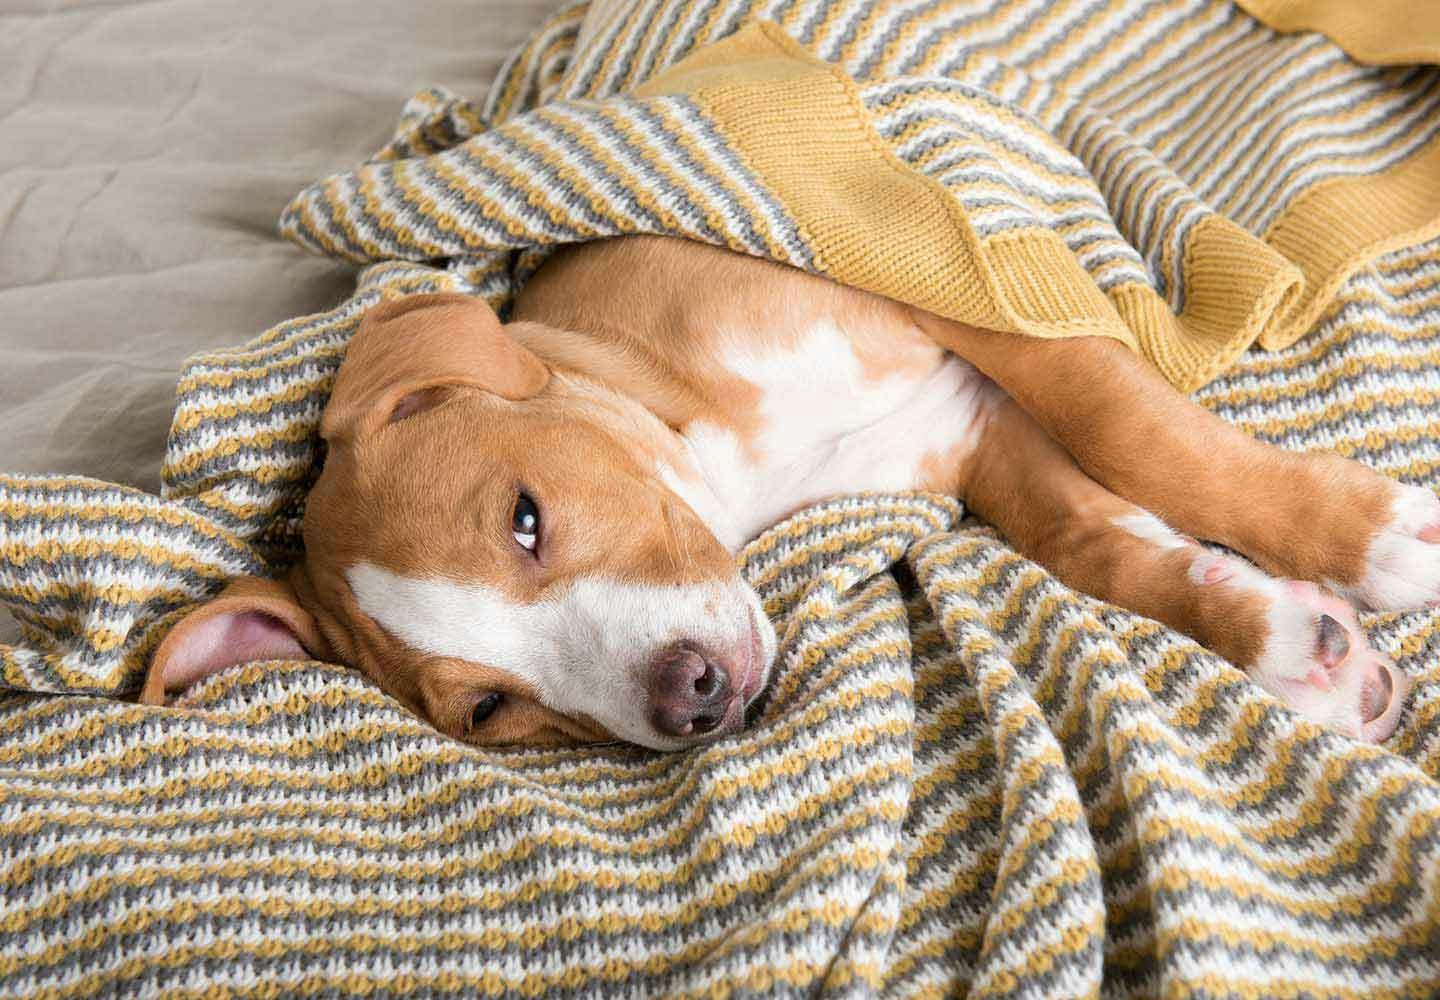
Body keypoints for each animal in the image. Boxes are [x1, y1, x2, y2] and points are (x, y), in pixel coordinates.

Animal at [140, 236, 1422, 743]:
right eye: (489, 710)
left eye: (525, 517)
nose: (692, 698)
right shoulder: (973, 434)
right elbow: (1094, 539)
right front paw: (1286, 643)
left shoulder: (967, 292)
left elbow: (1142, 433)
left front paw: (1373, 538)